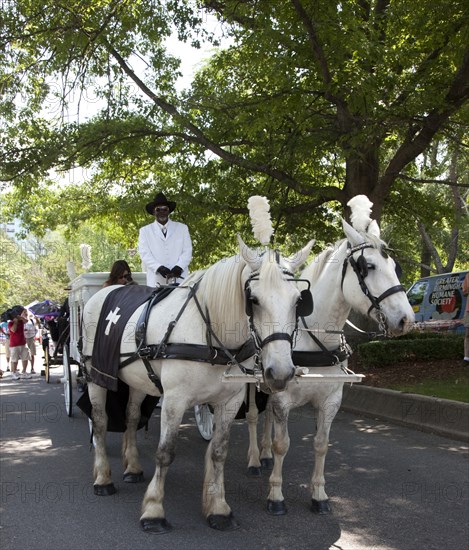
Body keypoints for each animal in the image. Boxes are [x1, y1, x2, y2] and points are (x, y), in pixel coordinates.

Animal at [81, 237, 314, 536]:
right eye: (253, 300)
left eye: (298, 301)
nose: (281, 373)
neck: (210, 334)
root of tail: (105, 291)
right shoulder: (174, 400)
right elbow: (166, 452)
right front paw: (154, 511)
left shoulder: (229, 402)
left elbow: (218, 452)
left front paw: (218, 508)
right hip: (95, 376)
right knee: (100, 422)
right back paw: (103, 479)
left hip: (138, 380)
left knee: (132, 417)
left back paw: (132, 467)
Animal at [245, 212, 414, 516]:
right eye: (368, 267)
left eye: (396, 267)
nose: (406, 319)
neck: (314, 337)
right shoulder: (283, 398)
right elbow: (282, 444)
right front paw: (276, 495)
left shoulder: (330, 401)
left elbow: (321, 445)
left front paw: (319, 494)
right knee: (253, 415)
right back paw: (254, 459)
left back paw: (263, 455)